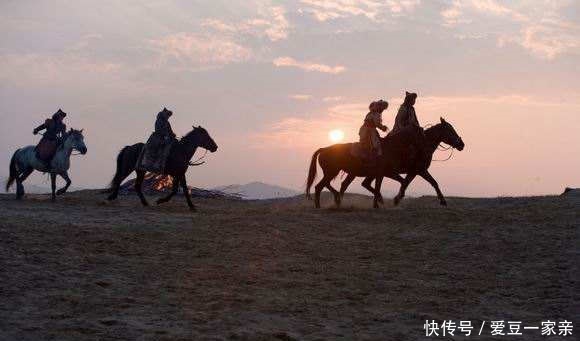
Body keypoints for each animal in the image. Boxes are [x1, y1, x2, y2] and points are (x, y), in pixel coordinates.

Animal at [306, 117, 464, 207]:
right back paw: (324, 204)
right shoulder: (416, 170)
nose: (461, 144)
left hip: (348, 173)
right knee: (320, 186)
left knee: (342, 185)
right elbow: (423, 182)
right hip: (333, 172)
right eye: (450, 130)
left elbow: (419, 182)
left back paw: (338, 201)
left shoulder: (414, 171)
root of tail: (324, 149)